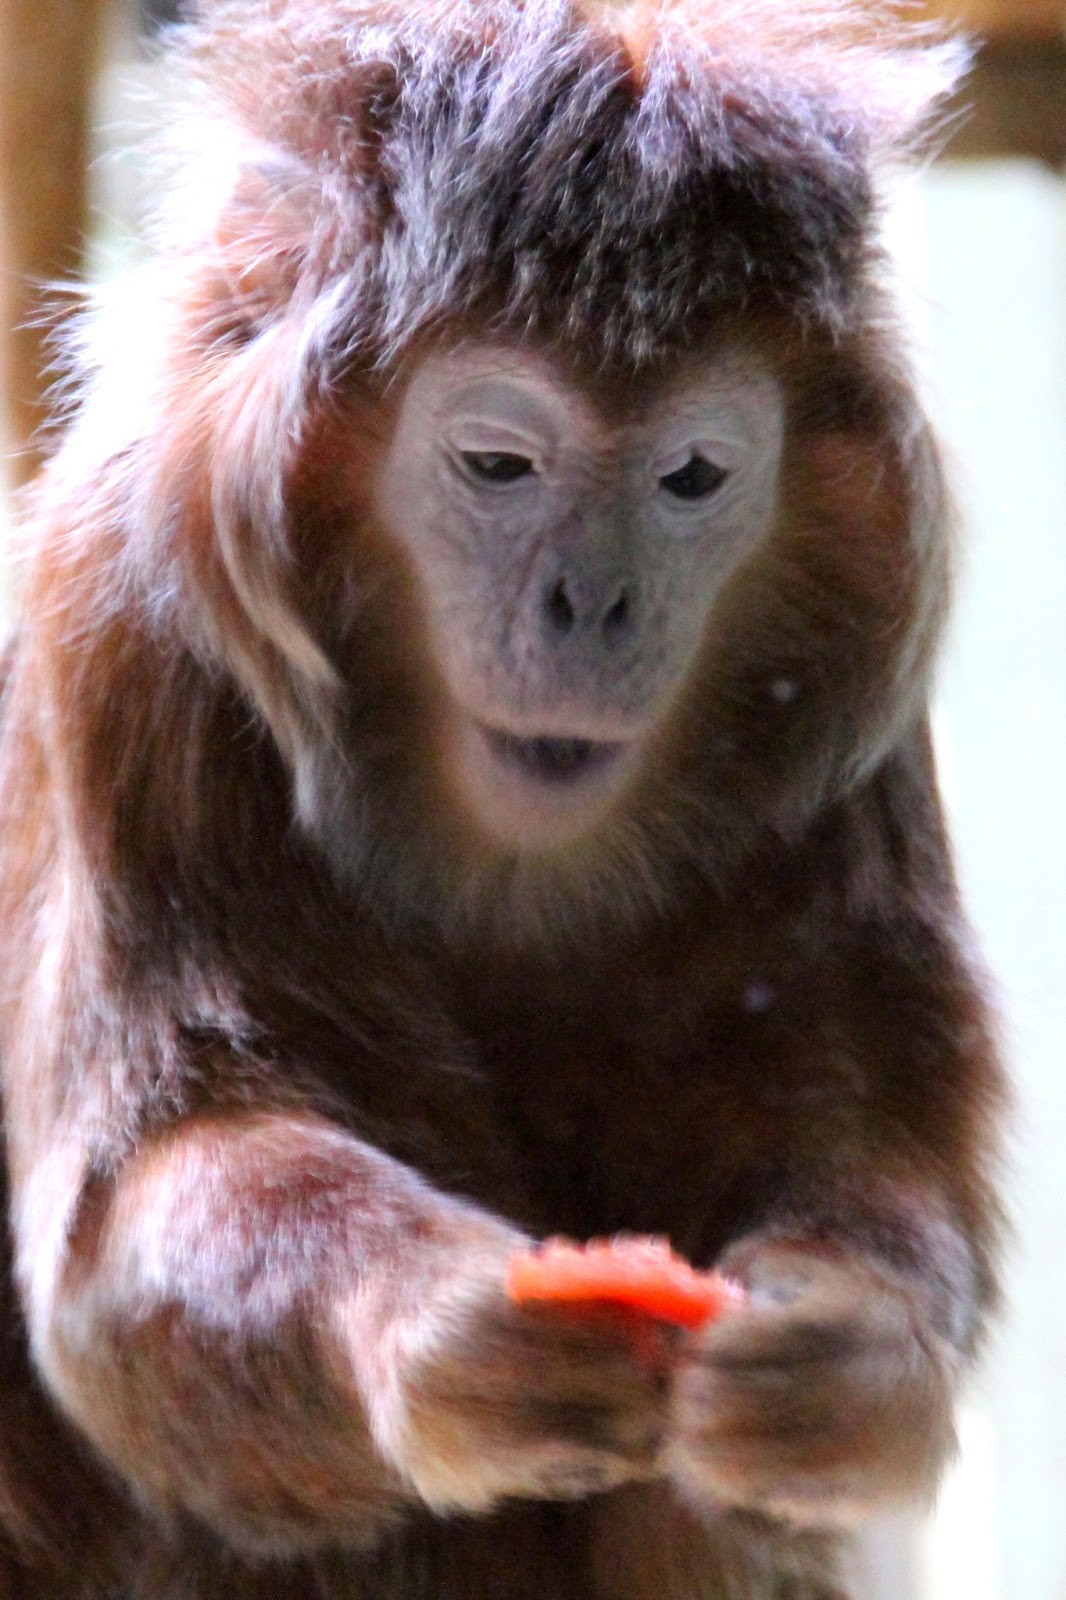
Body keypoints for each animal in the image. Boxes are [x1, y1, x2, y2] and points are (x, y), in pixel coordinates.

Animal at [0, 2, 1005, 1597]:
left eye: (691, 478)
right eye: (496, 463)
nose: (593, 603)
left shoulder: (855, 722)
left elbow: (867, 1146)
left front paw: (846, 1359)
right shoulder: (121, 629)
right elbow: (137, 1212)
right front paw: (448, 1329)